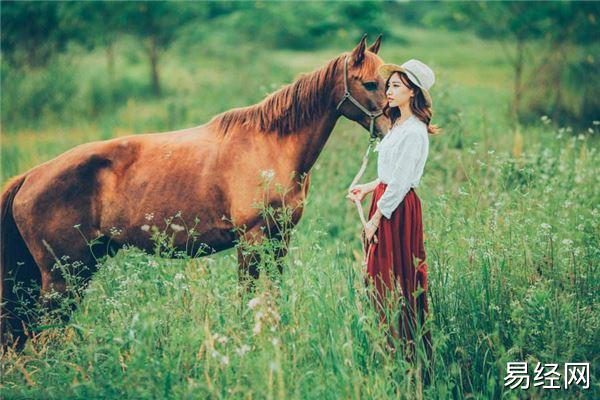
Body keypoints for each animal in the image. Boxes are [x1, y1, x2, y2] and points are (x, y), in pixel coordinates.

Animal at [0, 35, 390, 346]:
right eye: (370, 83)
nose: (392, 123)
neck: (271, 146)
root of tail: (29, 177)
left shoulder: (280, 238)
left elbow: (273, 295)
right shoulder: (251, 240)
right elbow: (247, 296)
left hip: (75, 271)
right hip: (62, 277)